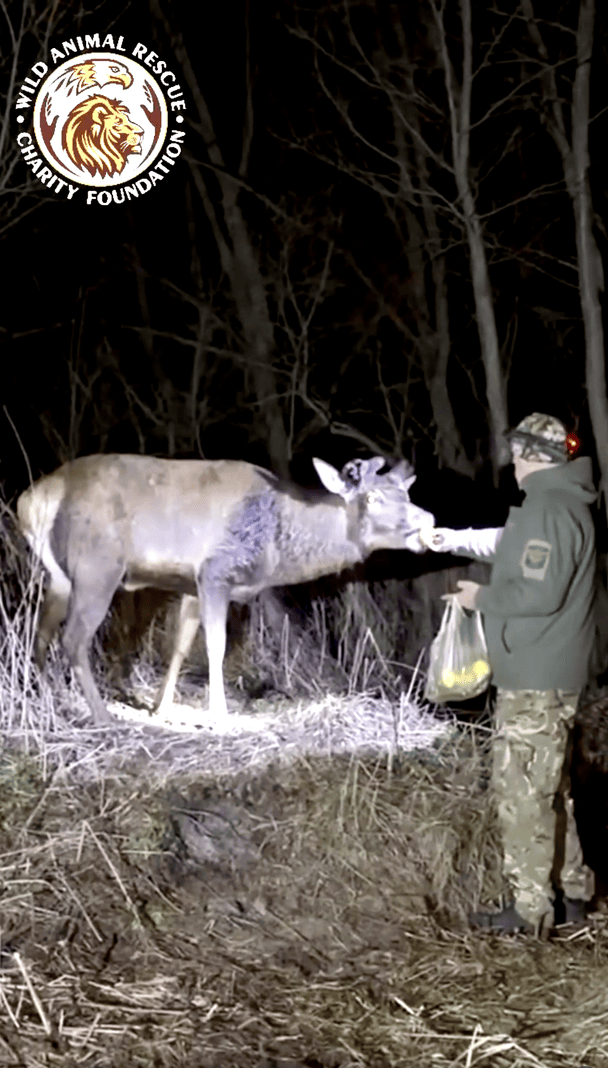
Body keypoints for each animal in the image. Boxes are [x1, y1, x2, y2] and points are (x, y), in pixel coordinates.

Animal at [17, 454, 435, 725]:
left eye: (407, 494)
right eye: (373, 497)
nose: (428, 518)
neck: (273, 548)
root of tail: (31, 500)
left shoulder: (191, 582)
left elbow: (180, 644)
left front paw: (161, 706)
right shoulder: (216, 571)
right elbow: (214, 646)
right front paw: (218, 714)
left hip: (61, 576)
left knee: (41, 632)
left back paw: (46, 698)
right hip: (97, 565)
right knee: (73, 638)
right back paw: (101, 715)